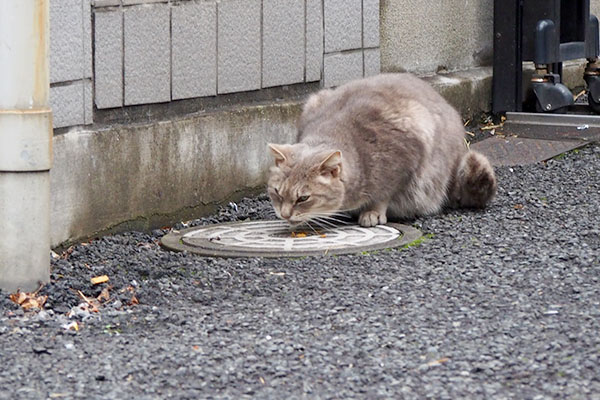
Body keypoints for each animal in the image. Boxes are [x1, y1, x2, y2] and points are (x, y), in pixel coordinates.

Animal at [268, 73, 496, 227]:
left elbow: (384, 192)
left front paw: (372, 212)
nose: (284, 214)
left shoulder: (406, 153)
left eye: (303, 198)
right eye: (277, 192)